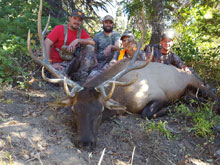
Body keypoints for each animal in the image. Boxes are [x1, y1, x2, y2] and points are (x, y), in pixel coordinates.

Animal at [27, 0, 218, 150]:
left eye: (100, 110)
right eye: (74, 109)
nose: (85, 143)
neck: (124, 96)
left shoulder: (159, 95)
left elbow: (147, 113)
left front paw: (169, 109)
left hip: (196, 83)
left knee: (213, 97)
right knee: (193, 98)